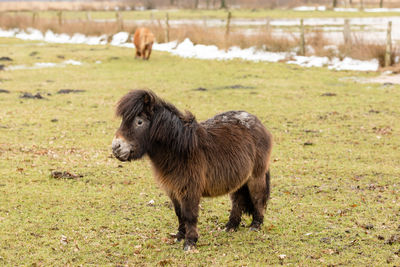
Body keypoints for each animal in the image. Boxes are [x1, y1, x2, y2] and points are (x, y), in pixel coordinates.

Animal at [112, 90, 276, 251]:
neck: (179, 148)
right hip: (239, 179)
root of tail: (257, 122)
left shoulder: (189, 189)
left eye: (139, 122)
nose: (115, 148)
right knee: (238, 200)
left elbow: (189, 215)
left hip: (256, 176)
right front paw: (180, 236)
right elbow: (179, 213)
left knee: (258, 197)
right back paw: (230, 226)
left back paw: (255, 225)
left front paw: (190, 242)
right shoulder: (173, 190)